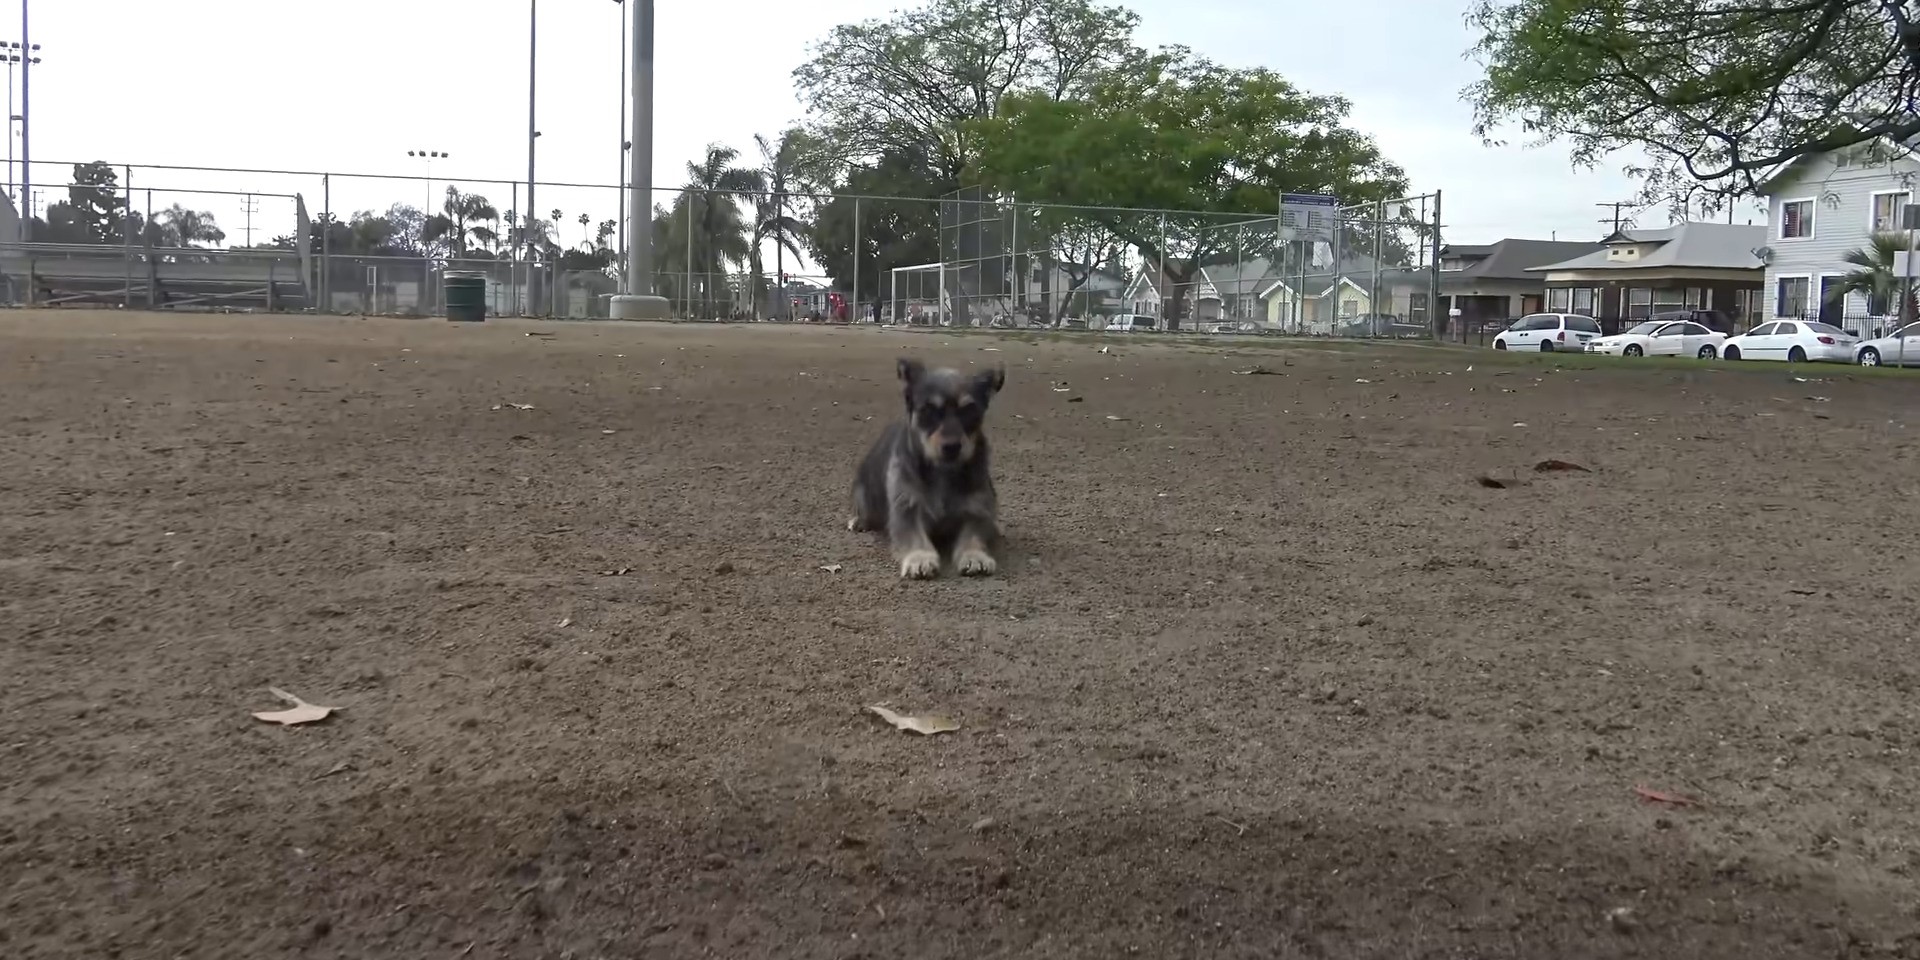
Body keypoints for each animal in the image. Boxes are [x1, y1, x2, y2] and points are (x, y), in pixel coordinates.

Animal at [852, 359, 1006, 576]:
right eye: (929, 410)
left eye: (968, 411)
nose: (952, 447)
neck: (943, 471)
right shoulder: (906, 506)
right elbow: (914, 535)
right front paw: (920, 558)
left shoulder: (978, 509)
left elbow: (973, 535)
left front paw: (975, 556)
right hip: (864, 494)